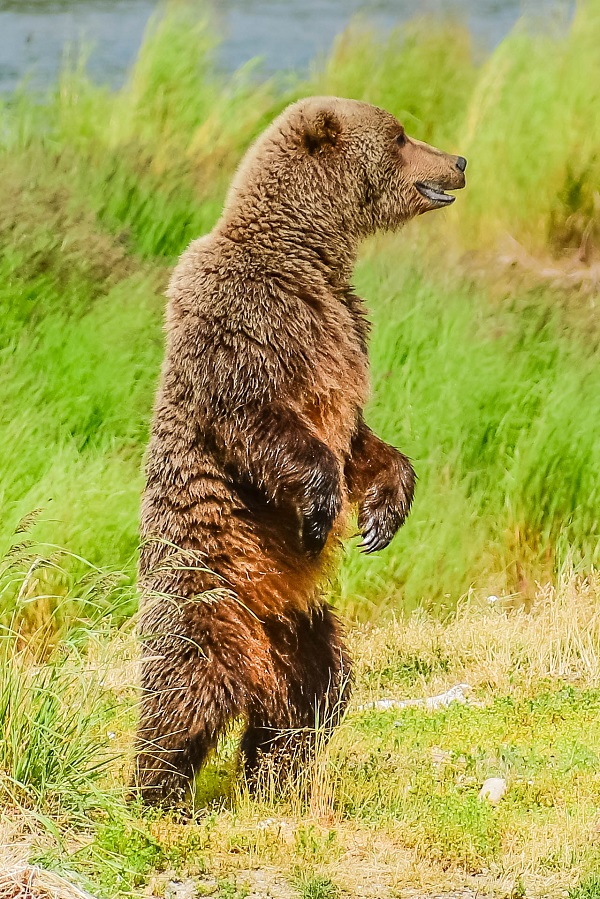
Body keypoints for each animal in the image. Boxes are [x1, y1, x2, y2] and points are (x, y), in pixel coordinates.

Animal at [134, 95, 466, 804]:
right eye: (401, 137)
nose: (457, 160)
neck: (306, 255)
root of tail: (257, 641)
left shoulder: (342, 327)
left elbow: (358, 437)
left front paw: (381, 515)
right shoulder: (246, 319)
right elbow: (255, 416)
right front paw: (321, 507)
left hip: (302, 627)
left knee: (314, 695)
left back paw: (273, 774)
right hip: (205, 593)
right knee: (184, 691)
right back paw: (156, 790)